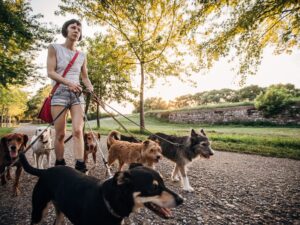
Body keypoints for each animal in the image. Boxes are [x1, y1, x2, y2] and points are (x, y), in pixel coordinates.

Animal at [19, 153, 183, 225]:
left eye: (163, 183)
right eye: (154, 187)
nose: (181, 200)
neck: (108, 203)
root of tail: (45, 171)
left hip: (59, 211)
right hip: (38, 212)